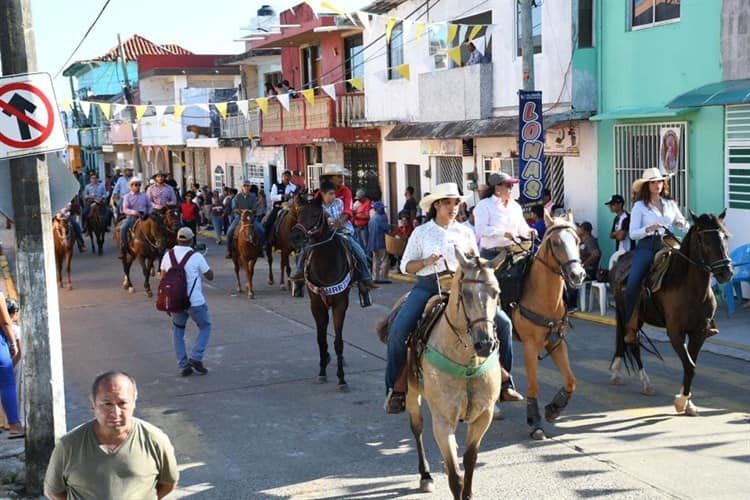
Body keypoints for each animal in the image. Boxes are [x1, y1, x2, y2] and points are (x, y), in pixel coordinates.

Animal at [290, 195, 356, 390]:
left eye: (315, 214)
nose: (296, 237)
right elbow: (321, 338)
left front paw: (342, 379)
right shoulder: (316, 304)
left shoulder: (340, 304)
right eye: (299, 213)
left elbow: (338, 342)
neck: (326, 265)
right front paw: (321, 372)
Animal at [406, 250, 506, 500]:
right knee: (417, 429)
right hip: (412, 394)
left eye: (496, 292)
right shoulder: (442, 420)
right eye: (466, 293)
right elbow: (455, 477)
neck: (467, 361)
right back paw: (426, 476)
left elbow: (470, 461)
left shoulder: (484, 416)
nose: (485, 344)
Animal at [516, 213, 592, 440]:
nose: (577, 275)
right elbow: (533, 386)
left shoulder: (556, 342)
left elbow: (571, 380)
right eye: (556, 242)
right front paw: (535, 422)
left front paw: (554, 409)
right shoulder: (530, 345)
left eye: (577, 241)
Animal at [612, 210, 736, 414]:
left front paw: (688, 403)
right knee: (631, 342)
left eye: (725, 236)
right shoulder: (675, 332)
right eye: (703, 240)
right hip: (628, 315)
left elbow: (690, 365)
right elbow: (690, 366)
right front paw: (681, 401)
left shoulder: (699, 333)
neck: (690, 289)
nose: (726, 272)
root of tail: (620, 262)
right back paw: (644, 383)